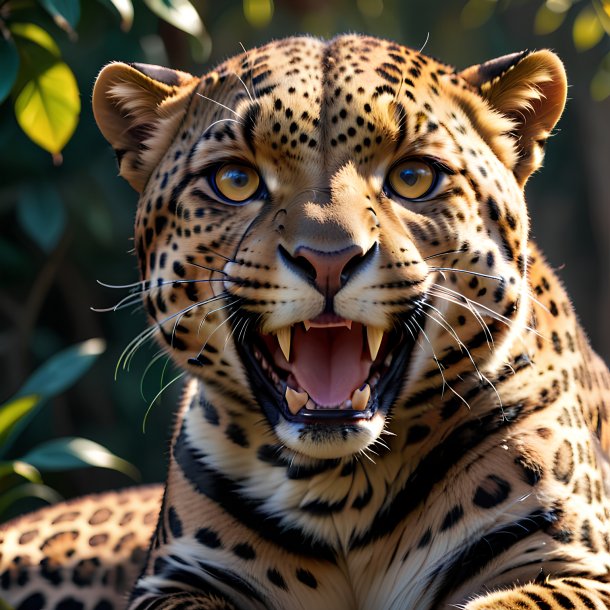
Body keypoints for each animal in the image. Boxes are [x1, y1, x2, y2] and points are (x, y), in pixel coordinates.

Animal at [1, 32, 608, 608]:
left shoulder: (573, 567)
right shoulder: (177, 580)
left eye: (413, 177)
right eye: (235, 180)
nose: (329, 261)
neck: (342, 489)